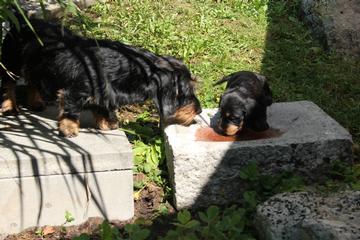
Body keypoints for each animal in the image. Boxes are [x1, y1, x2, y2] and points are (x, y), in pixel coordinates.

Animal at [0, 17, 201, 137]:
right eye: (186, 92)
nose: (199, 111)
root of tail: (23, 20)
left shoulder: (105, 93)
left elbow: (101, 107)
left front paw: (107, 123)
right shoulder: (76, 90)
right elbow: (72, 107)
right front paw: (69, 127)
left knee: (33, 81)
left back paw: (35, 102)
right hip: (11, 62)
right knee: (9, 84)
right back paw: (10, 106)